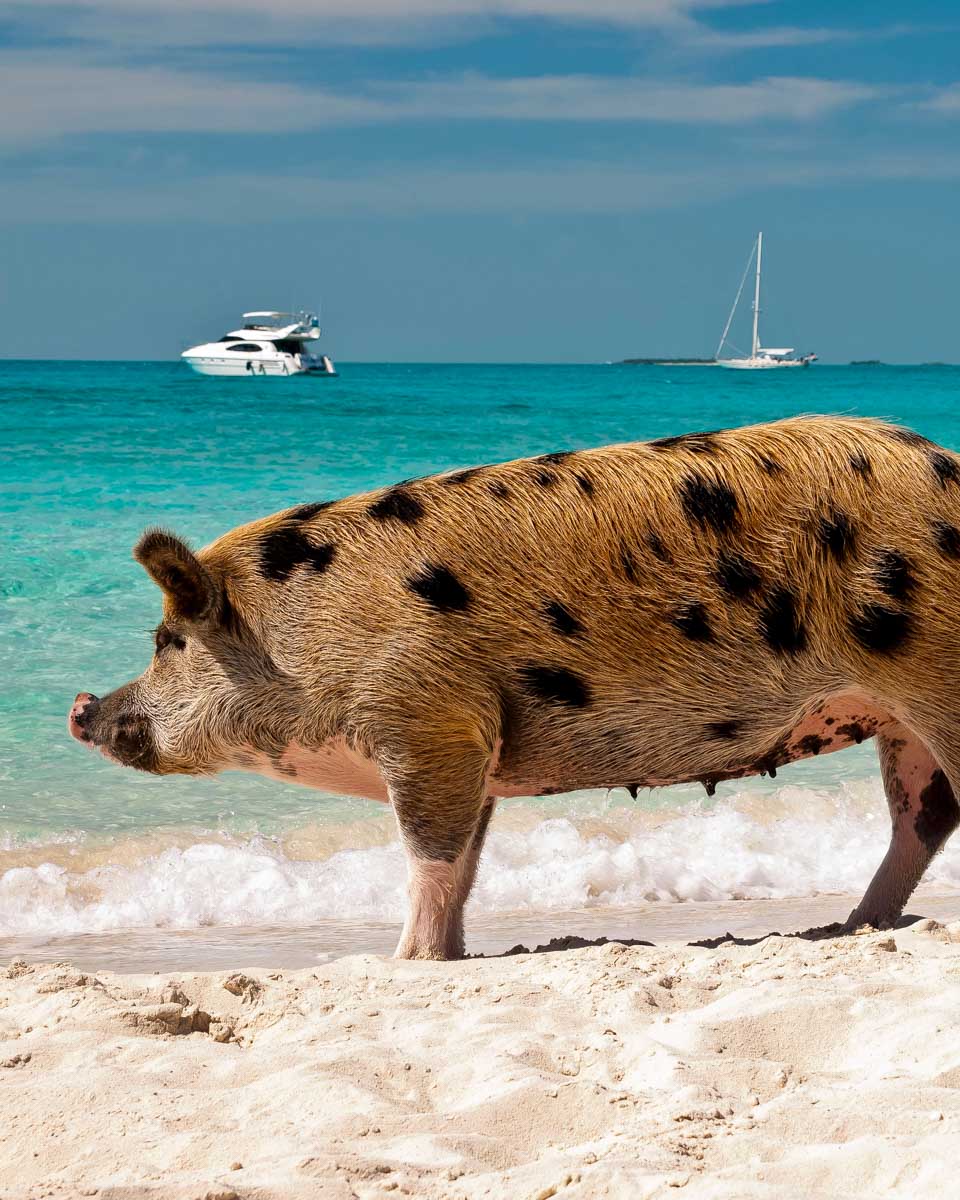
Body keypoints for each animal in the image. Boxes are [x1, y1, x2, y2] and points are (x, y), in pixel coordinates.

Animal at [69, 416, 960, 959]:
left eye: (167, 642)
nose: (82, 707)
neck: (297, 633)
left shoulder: (426, 720)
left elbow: (427, 856)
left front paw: (399, 960)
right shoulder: (477, 745)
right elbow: (464, 863)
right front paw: (447, 956)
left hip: (934, 678)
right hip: (897, 721)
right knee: (925, 818)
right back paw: (854, 926)